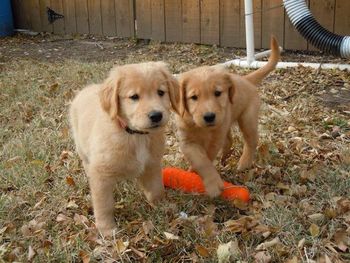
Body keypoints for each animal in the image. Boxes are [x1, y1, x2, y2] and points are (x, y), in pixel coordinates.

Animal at [69, 62, 178, 237]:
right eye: (134, 97)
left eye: (161, 92)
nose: (156, 115)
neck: (135, 135)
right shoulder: (101, 174)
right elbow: (104, 204)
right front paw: (107, 229)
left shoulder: (152, 165)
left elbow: (156, 189)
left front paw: (163, 206)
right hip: (82, 149)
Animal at [176, 37, 280, 198]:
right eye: (194, 97)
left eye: (218, 93)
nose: (209, 117)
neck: (200, 127)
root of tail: (246, 79)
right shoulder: (187, 141)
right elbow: (200, 160)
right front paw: (195, 174)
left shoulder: (215, 140)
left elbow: (206, 158)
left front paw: (207, 181)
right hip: (227, 122)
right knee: (230, 140)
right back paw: (225, 158)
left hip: (246, 119)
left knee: (251, 141)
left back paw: (244, 162)